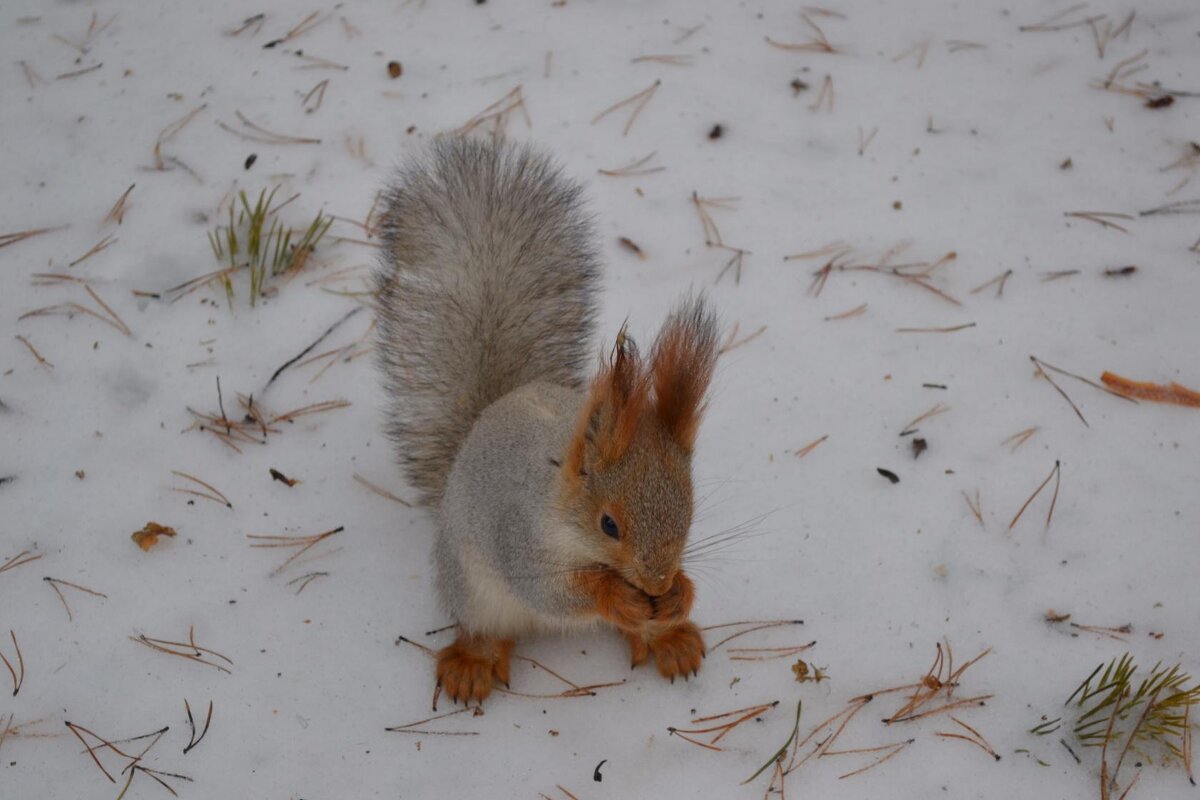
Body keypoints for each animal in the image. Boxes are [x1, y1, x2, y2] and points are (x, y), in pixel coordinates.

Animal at [374, 136, 715, 700]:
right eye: (608, 525)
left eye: (689, 510)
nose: (657, 582)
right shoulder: (519, 537)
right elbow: (553, 592)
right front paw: (615, 597)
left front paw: (680, 594)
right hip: (473, 590)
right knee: (487, 628)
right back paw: (473, 662)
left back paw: (670, 638)